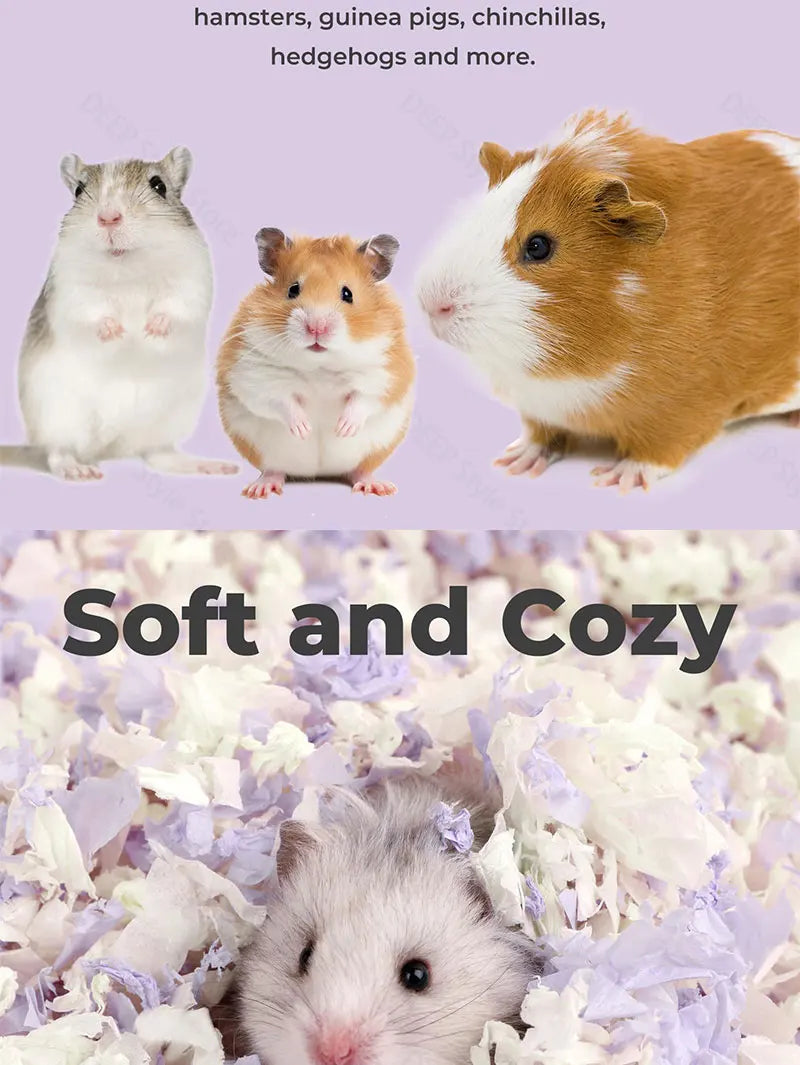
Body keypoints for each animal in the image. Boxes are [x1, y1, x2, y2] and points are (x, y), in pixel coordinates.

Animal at [6, 148, 237, 481]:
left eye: (158, 186)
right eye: (79, 190)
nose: (108, 218)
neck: (126, 262)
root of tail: (110, 448)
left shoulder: (191, 283)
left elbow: (176, 307)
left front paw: (149, 330)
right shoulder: (72, 289)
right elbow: (91, 311)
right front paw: (119, 332)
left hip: (170, 417)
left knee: (158, 454)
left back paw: (209, 466)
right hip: (57, 414)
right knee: (58, 452)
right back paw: (78, 470)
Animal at [216, 230, 415, 498]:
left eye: (347, 294)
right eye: (293, 289)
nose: (316, 328)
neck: (319, 365)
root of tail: (321, 473)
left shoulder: (386, 372)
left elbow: (364, 399)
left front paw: (343, 428)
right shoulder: (253, 372)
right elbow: (280, 400)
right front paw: (304, 428)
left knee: (359, 469)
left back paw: (376, 486)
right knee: (274, 469)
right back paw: (261, 489)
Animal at [416, 109, 800, 492]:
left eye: (538, 246)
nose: (434, 304)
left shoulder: (686, 408)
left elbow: (660, 450)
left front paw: (616, 479)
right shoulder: (540, 409)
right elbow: (541, 435)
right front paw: (515, 463)